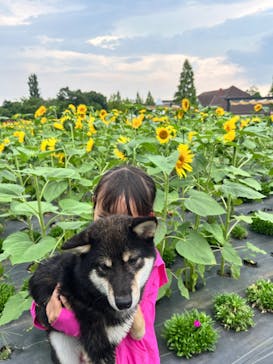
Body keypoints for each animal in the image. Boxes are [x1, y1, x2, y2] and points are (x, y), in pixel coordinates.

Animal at [28, 215, 156, 364]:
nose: (123, 303)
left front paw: (137, 328)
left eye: (133, 260)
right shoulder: (100, 350)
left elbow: (139, 320)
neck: (91, 292)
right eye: (104, 267)